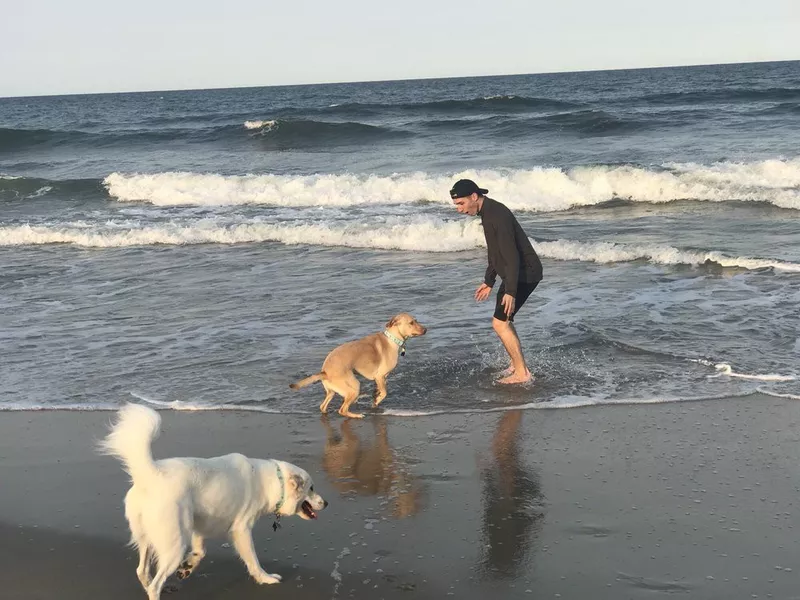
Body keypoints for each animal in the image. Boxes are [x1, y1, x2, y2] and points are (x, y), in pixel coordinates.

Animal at [99, 404, 324, 600]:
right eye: (312, 488)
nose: (327, 503)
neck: (273, 481)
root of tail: (151, 474)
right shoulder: (241, 529)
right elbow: (253, 560)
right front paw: (266, 578)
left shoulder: (199, 523)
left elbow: (201, 551)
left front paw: (189, 566)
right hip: (175, 542)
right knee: (155, 583)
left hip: (148, 538)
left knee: (142, 572)